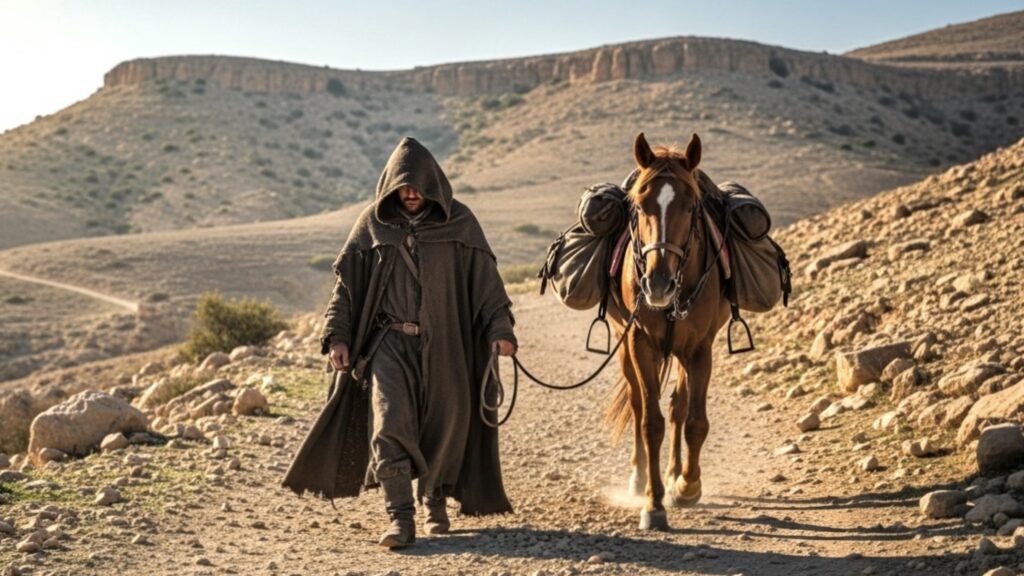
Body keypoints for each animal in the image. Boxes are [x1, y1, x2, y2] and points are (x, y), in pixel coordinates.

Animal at [606, 132, 731, 531]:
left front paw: (687, 485)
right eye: (640, 205)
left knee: (679, 406)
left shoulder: (700, 348)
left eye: (691, 207)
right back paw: (639, 477)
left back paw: (676, 474)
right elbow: (650, 423)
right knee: (637, 402)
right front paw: (653, 503)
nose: (657, 284)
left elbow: (694, 421)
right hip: (625, 346)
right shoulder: (639, 342)